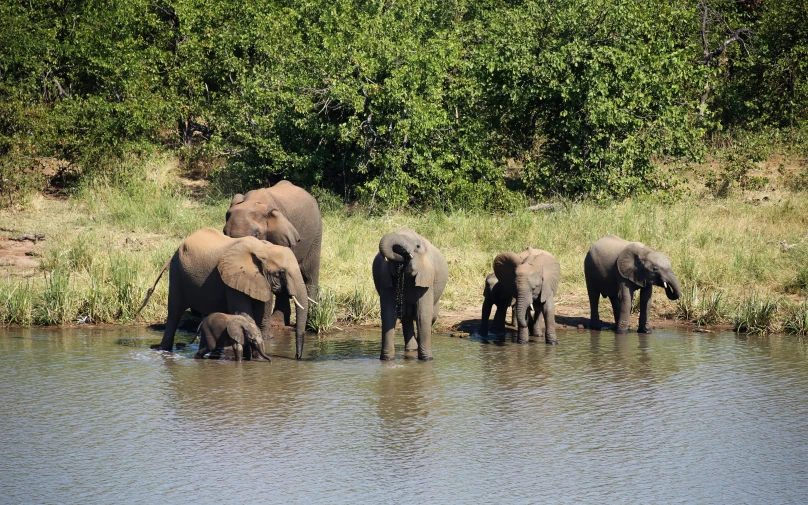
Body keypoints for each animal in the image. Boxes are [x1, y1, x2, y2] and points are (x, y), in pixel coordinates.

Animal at [137, 226, 308, 360]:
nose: (297, 357)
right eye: (280, 273)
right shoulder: (233, 277)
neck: (263, 249)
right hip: (177, 270)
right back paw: (164, 350)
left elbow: (261, 315)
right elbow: (243, 313)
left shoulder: (260, 280)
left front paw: (257, 358)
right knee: (175, 310)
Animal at [370, 226, 448, 360]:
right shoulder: (385, 277)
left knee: (431, 316)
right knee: (406, 317)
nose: (402, 253)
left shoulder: (426, 275)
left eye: (417, 246)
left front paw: (427, 359)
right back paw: (412, 349)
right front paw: (386, 360)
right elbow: (388, 314)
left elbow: (423, 314)